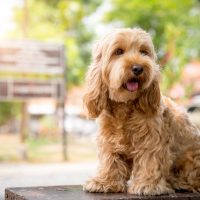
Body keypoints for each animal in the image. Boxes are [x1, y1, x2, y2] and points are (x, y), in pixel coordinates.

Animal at [82, 27, 200, 195]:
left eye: (144, 52)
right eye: (118, 51)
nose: (138, 68)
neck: (125, 106)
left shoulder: (152, 140)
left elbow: (149, 161)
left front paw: (147, 185)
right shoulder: (108, 139)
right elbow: (110, 160)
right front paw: (105, 181)